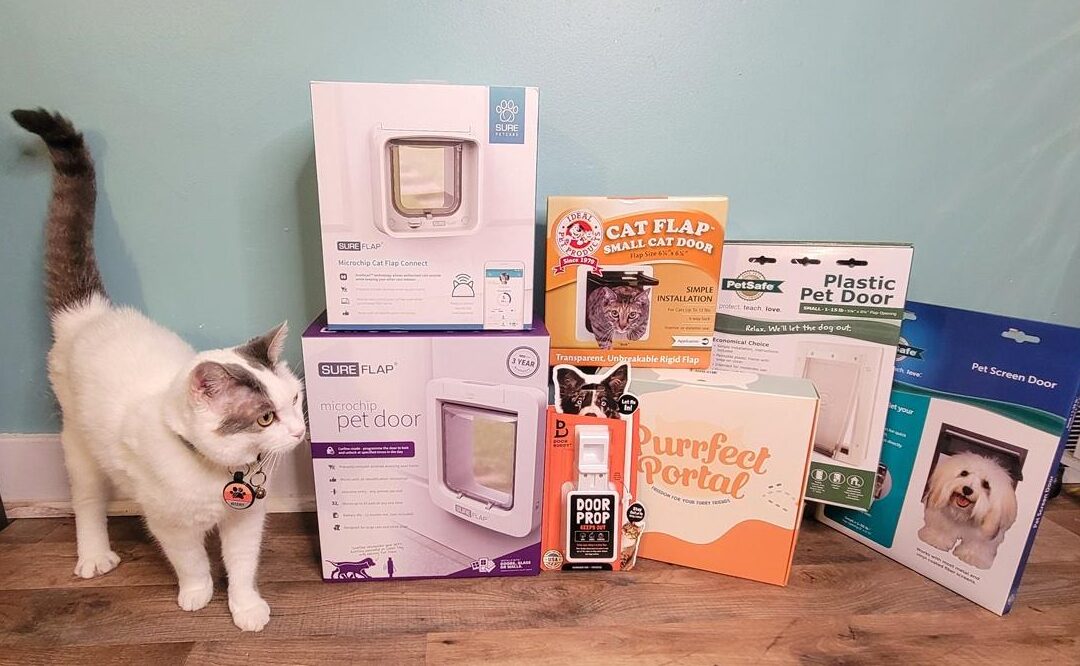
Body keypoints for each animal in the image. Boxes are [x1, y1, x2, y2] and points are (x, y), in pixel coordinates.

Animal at [12, 108, 307, 632]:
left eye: (293, 399)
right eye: (264, 417)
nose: (298, 431)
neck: (219, 471)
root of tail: (90, 313)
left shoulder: (247, 519)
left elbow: (243, 563)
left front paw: (246, 608)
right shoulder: (167, 519)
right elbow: (189, 560)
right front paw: (197, 595)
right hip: (78, 445)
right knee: (87, 502)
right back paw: (94, 557)